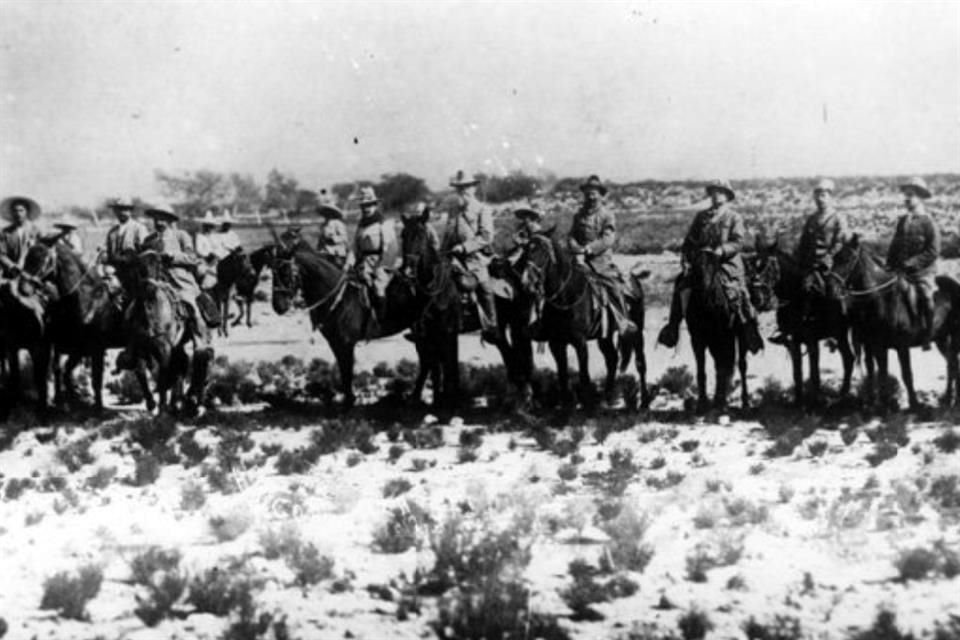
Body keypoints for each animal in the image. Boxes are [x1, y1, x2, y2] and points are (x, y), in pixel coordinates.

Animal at [20, 240, 124, 410]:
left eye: (44, 259)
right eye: (27, 257)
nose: (23, 288)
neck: (87, 300)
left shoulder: (96, 349)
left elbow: (96, 379)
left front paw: (96, 407)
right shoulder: (78, 349)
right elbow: (66, 373)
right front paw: (72, 398)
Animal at [512, 230, 648, 408]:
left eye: (543, 253)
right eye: (526, 251)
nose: (527, 283)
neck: (566, 297)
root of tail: (634, 279)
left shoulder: (580, 342)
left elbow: (584, 376)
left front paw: (587, 405)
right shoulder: (556, 343)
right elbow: (563, 376)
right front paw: (567, 405)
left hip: (637, 330)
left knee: (640, 362)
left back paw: (644, 401)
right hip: (605, 336)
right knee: (612, 360)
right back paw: (607, 398)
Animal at [688, 248, 752, 412]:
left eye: (714, 268)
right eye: (696, 268)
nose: (704, 291)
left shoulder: (724, 337)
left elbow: (724, 366)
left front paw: (721, 402)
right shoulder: (698, 339)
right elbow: (702, 369)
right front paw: (702, 403)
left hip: (740, 335)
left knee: (741, 364)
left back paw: (744, 402)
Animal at [752, 238, 856, 408]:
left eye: (768, 266)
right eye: (754, 265)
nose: (757, 298)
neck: (798, 298)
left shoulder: (812, 342)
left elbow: (814, 375)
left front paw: (814, 404)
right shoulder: (794, 341)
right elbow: (797, 373)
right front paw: (798, 402)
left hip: (841, 334)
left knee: (849, 359)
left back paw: (843, 395)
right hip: (839, 335)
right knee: (848, 358)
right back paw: (842, 394)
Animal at [832, 238, 944, 412]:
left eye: (848, 259)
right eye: (835, 258)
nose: (831, 287)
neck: (882, 300)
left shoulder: (901, 346)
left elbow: (906, 374)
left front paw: (914, 404)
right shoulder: (877, 346)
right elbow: (880, 373)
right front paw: (883, 404)